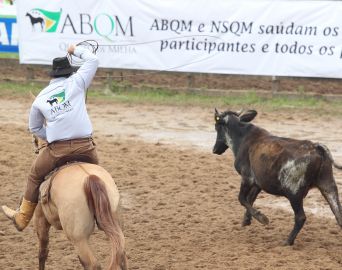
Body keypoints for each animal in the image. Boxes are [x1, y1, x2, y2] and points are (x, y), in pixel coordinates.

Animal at [32, 138, 128, 268]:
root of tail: (90, 177)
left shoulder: (40, 218)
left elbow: (42, 251)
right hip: (115, 223)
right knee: (120, 257)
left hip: (79, 239)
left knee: (92, 264)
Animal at [212, 108, 342, 246]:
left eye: (217, 127)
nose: (215, 150)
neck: (243, 138)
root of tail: (317, 147)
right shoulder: (258, 183)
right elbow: (250, 199)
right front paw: (246, 221)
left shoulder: (247, 178)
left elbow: (242, 198)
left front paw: (262, 218)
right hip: (328, 186)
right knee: (338, 215)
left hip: (294, 193)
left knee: (300, 217)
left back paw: (288, 241)